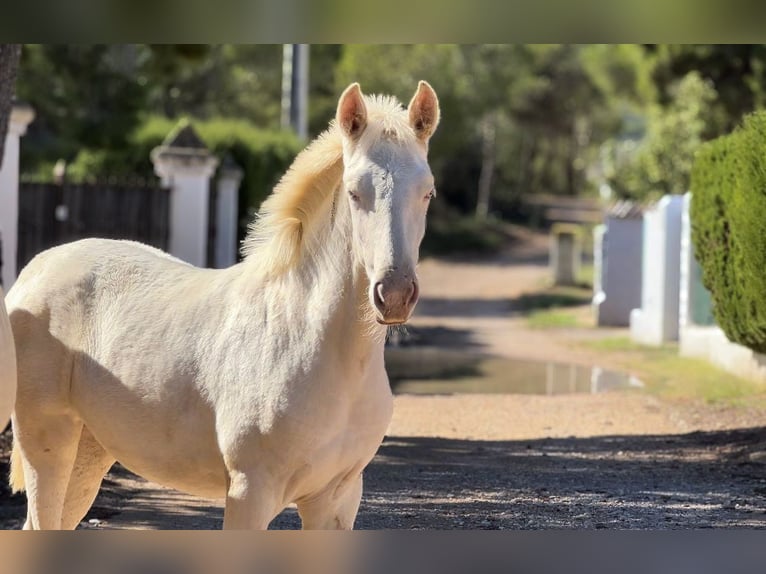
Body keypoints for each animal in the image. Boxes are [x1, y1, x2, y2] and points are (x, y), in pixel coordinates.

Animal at [6, 81, 440, 532]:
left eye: (428, 192)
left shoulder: (336, 500)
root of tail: (34, 271)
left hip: (89, 453)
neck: (311, 342)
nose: (394, 293)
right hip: (48, 444)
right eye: (355, 193)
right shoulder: (250, 493)